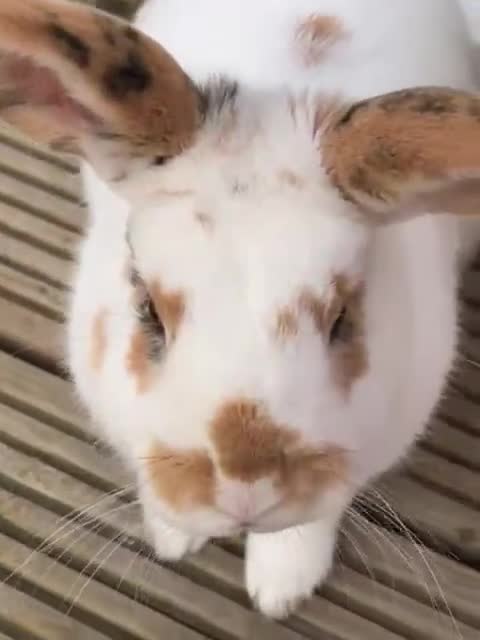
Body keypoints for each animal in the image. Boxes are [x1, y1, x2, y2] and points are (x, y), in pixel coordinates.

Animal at [1, 0, 480, 619]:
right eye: (148, 309)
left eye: (342, 318)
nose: (245, 488)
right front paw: (175, 537)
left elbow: (315, 516)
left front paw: (281, 589)